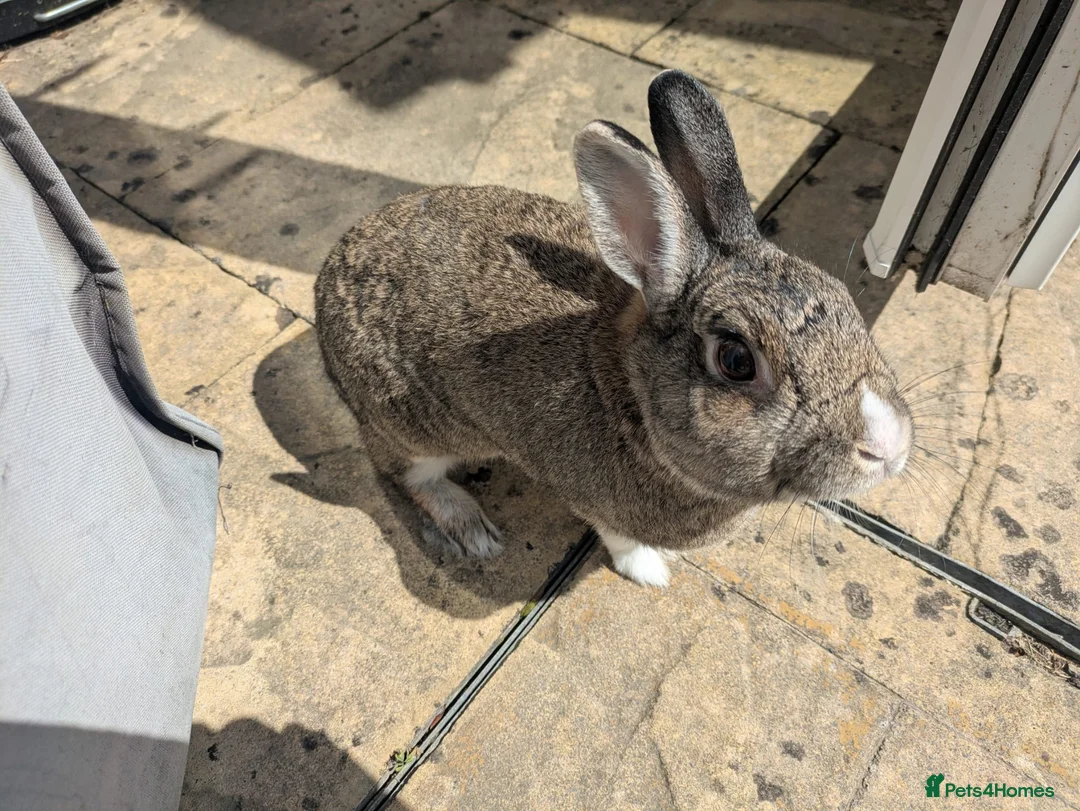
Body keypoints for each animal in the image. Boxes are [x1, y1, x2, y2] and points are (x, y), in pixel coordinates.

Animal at [314, 69, 912, 588]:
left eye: (845, 301)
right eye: (737, 360)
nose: (887, 447)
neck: (633, 394)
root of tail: (323, 286)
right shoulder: (592, 498)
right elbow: (619, 538)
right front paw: (651, 573)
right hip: (414, 427)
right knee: (405, 474)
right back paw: (472, 530)